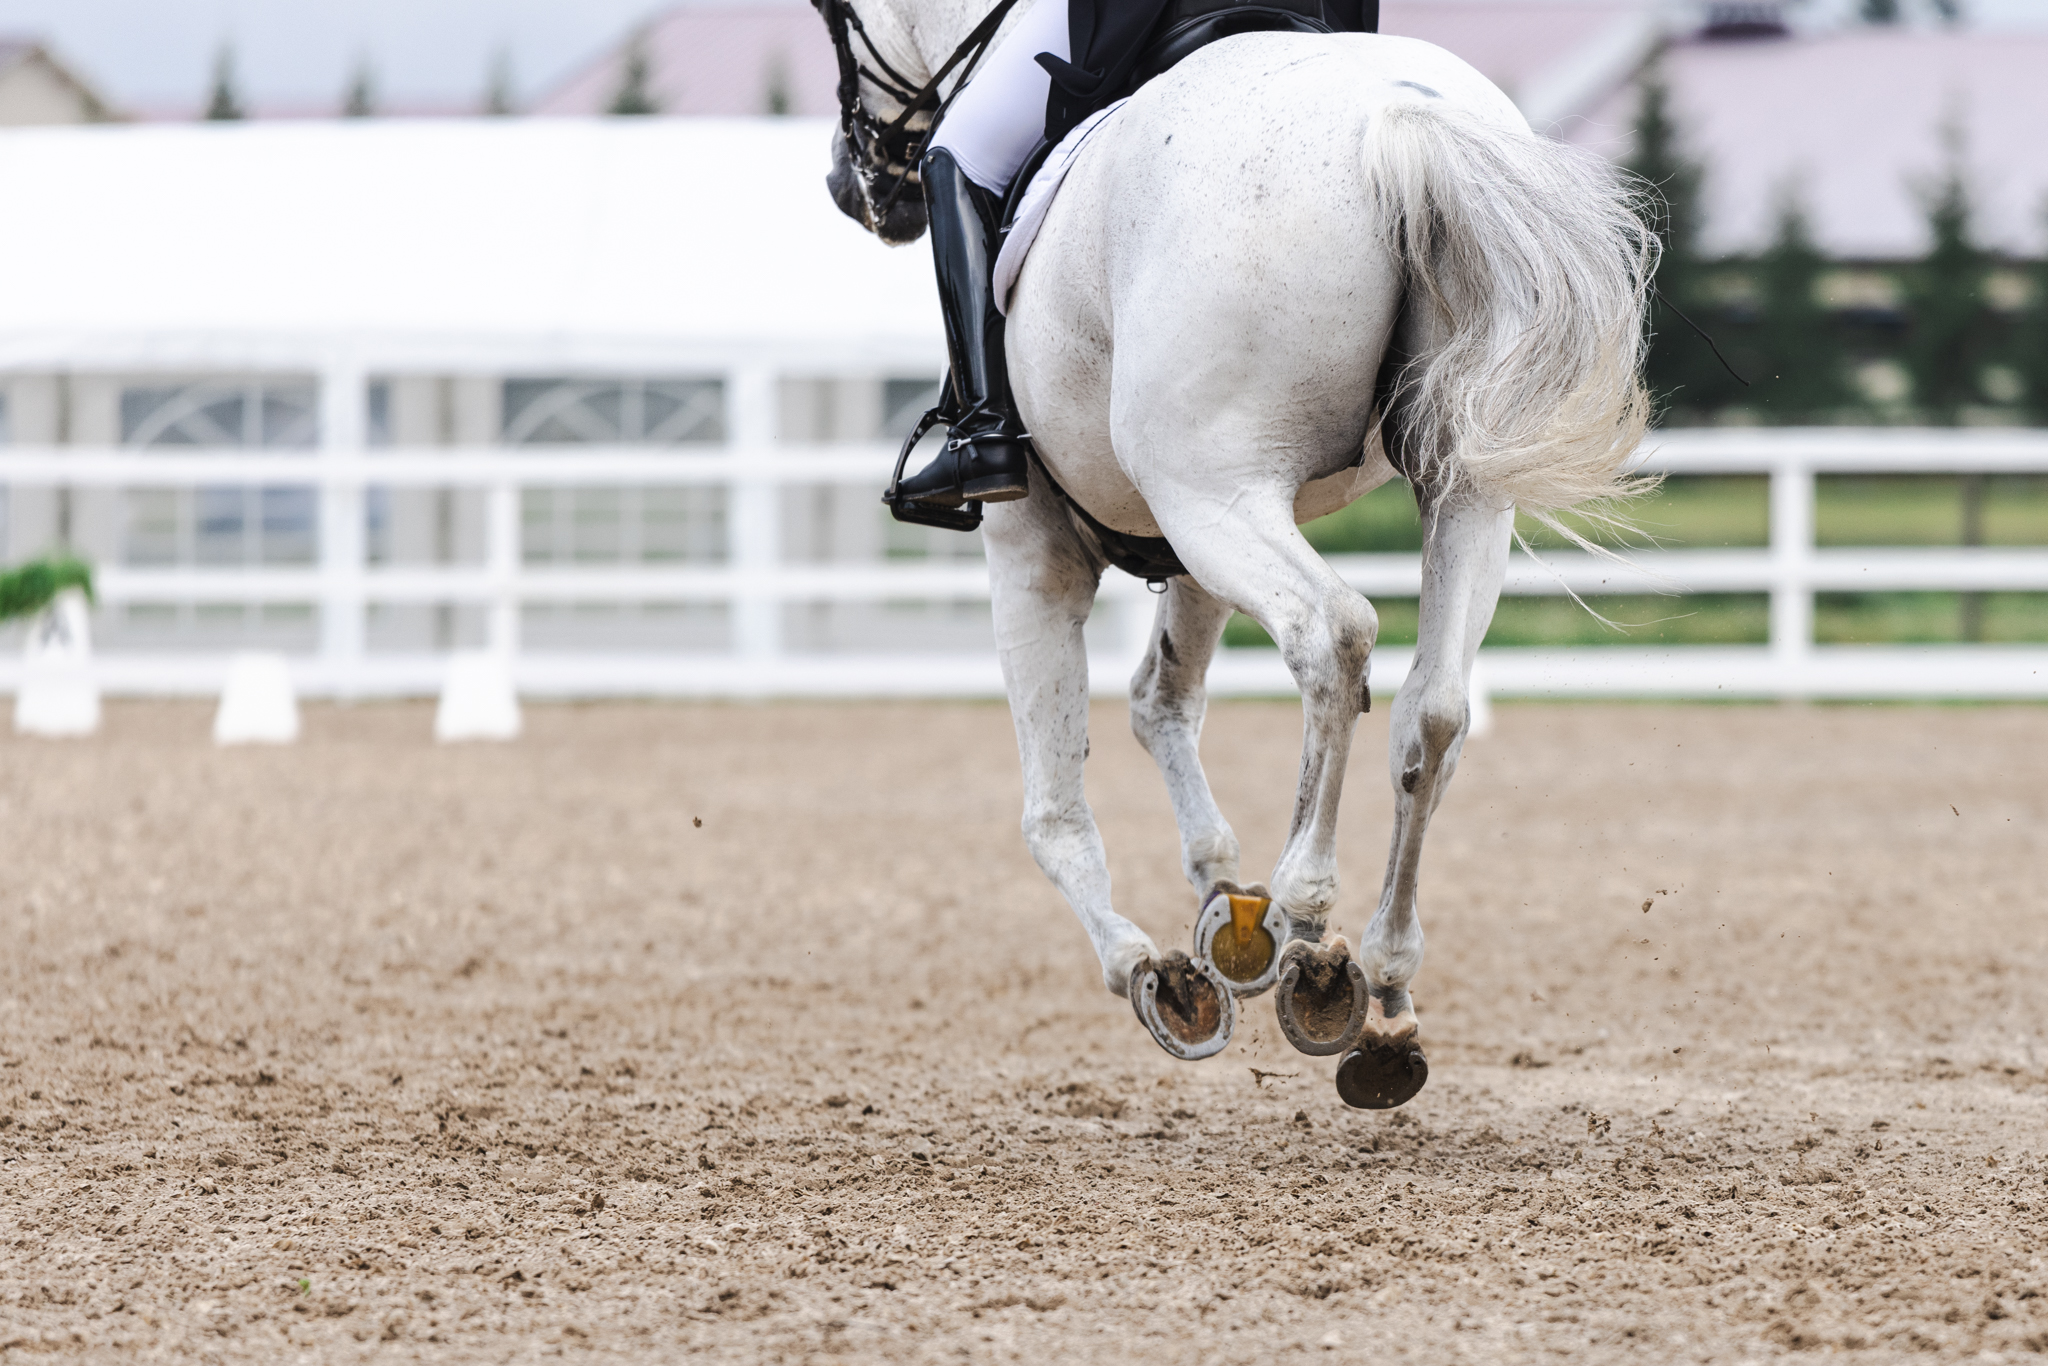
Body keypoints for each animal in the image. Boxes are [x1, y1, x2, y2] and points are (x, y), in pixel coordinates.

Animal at [823, 2, 1654, 1114]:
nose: (855, 183)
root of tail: (1392, 118)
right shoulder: (1181, 549)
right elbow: (1158, 703)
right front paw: (1227, 913)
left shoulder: (1033, 542)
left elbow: (1052, 806)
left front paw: (1156, 967)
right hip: (1446, 489)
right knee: (1431, 710)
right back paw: (1383, 990)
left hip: (1212, 487)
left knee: (1332, 634)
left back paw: (1310, 929)